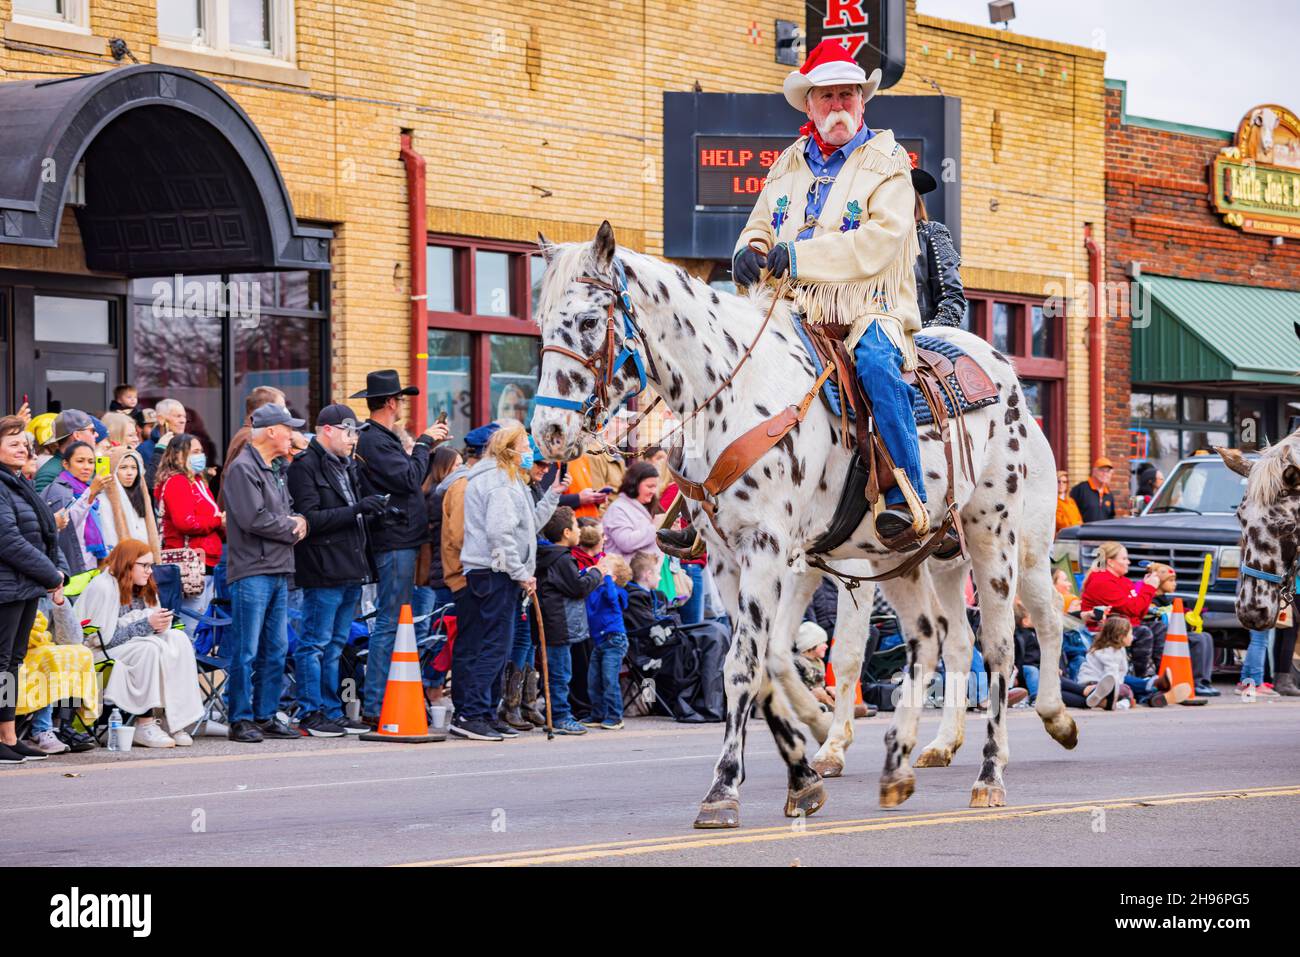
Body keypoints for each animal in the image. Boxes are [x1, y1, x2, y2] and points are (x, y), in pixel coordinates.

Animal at [527, 223, 1076, 832]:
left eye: (588, 321)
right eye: (542, 323)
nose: (549, 432)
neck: (738, 394)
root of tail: (1004, 375)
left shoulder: (772, 551)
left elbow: (757, 665)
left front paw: (727, 787)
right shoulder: (735, 560)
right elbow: (770, 663)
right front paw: (805, 771)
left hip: (1002, 542)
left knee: (1011, 642)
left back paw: (1007, 758)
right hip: (916, 558)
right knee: (938, 639)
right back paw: (909, 760)